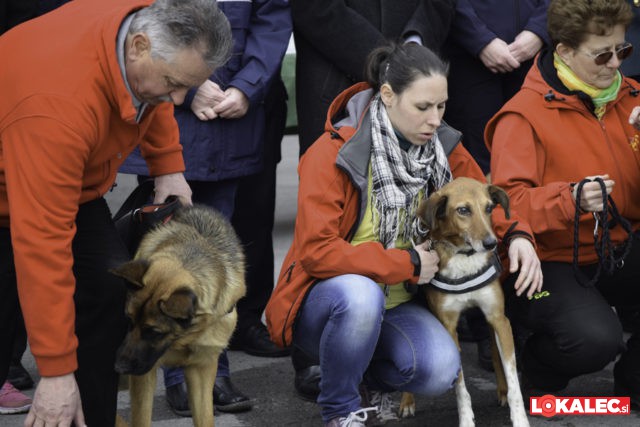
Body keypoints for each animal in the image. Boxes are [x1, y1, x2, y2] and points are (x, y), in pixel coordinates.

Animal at [110, 205, 245, 427]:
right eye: (129, 320)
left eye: (154, 332)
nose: (119, 367)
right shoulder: (143, 375)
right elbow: (141, 419)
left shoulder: (201, 369)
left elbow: (205, 418)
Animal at [400, 178, 528, 427]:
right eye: (463, 210)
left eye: (489, 208)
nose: (491, 243)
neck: (464, 255)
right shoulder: (449, 327)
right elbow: (460, 386)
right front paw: (467, 419)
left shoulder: (498, 319)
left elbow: (513, 379)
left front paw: (519, 418)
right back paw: (407, 401)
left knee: (496, 355)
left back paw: (501, 391)